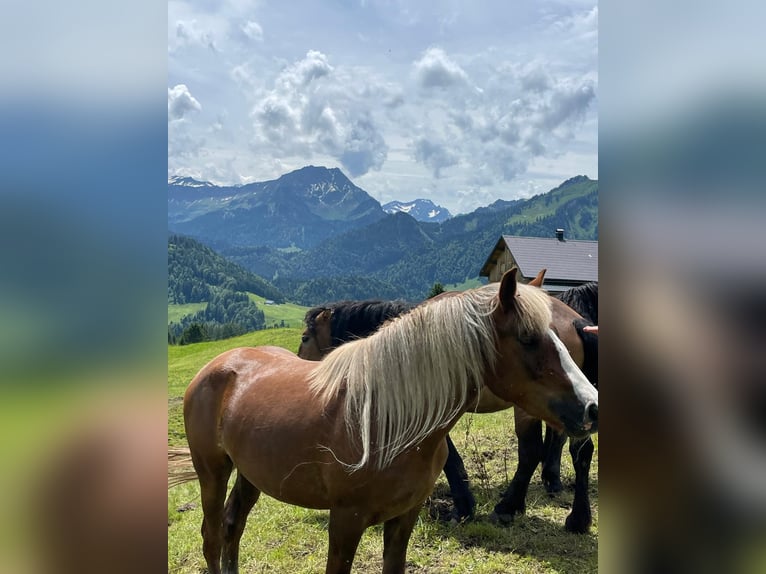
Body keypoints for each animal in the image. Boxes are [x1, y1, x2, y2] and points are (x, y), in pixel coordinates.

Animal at [180, 272, 600, 574]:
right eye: (528, 338)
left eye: (553, 337)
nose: (591, 406)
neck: (384, 421)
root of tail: (220, 364)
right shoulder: (345, 521)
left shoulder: (403, 518)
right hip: (213, 472)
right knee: (213, 535)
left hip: (250, 474)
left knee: (232, 526)